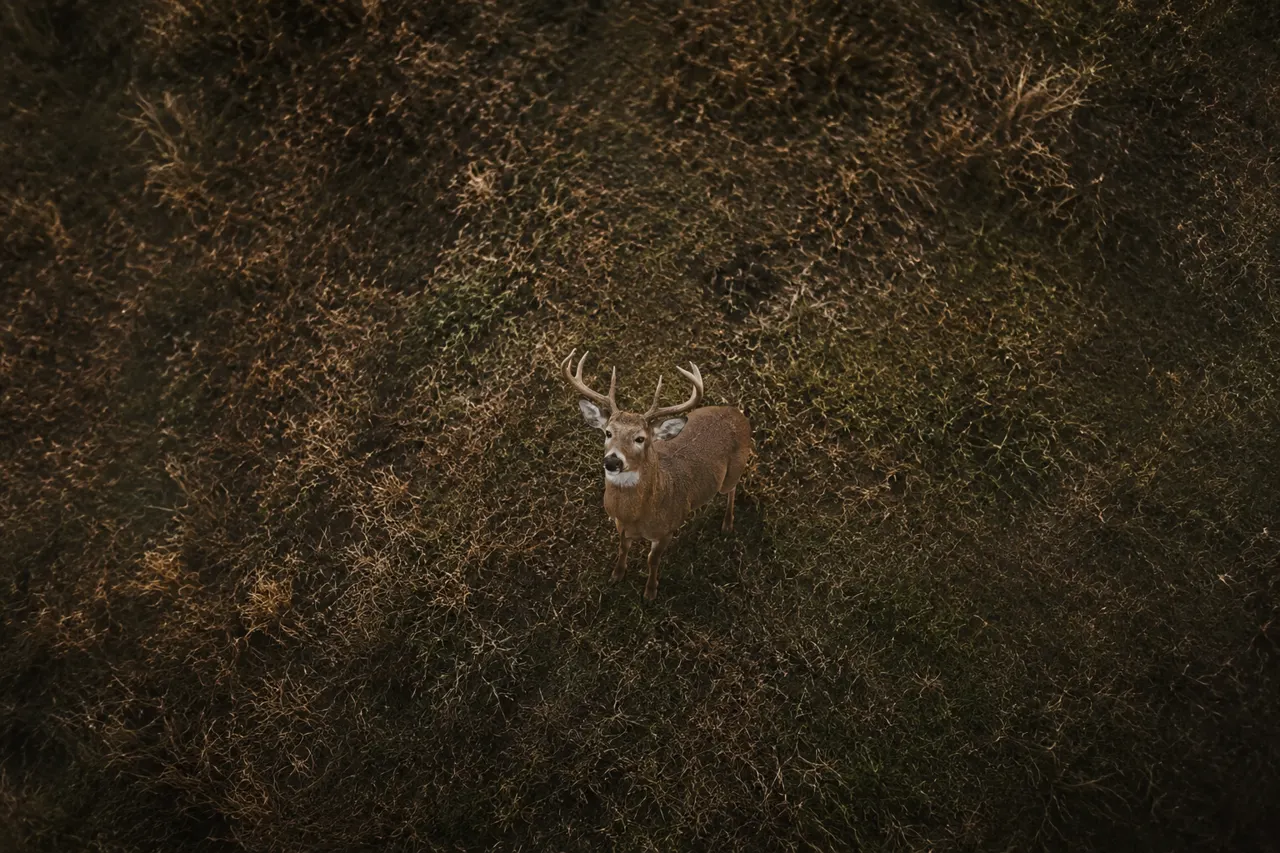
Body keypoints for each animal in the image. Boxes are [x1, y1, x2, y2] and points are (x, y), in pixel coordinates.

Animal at [561, 349, 752, 600]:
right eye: (608, 432)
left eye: (640, 438)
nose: (612, 461)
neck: (637, 515)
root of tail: (739, 414)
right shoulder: (620, 524)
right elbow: (622, 547)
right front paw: (616, 575)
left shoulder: (667, 529)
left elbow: (653, 560)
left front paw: (650, 592)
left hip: (733, 471)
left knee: (732, 489)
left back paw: (727, 525)